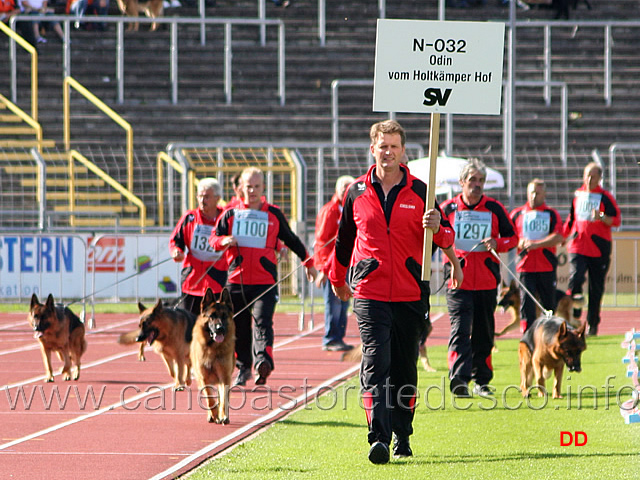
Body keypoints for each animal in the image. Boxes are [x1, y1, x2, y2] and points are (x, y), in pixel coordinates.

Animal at [192, 286, 238, 422]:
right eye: (211, 316)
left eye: (224, 316)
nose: (219, 328)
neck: (213, 349)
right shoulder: (204, 378)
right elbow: (209, 399)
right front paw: (214, 414)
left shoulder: (224, 377)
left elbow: (223, 399)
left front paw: (223, 416)